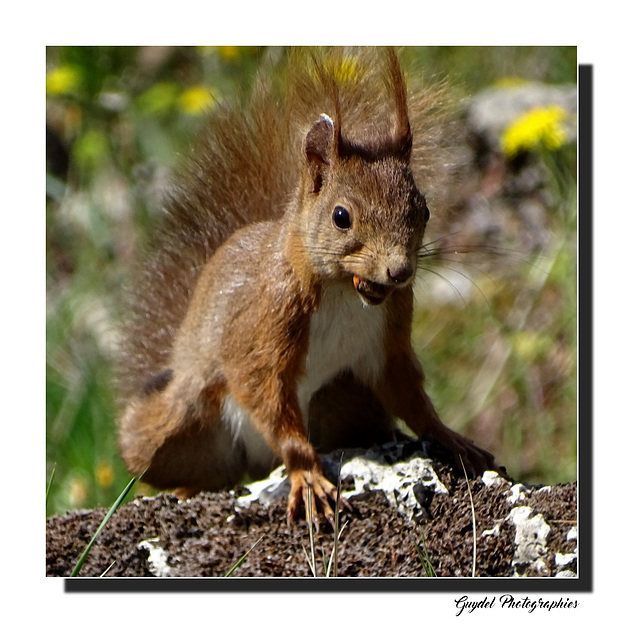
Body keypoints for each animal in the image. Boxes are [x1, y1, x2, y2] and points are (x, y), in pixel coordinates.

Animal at [119, 47, 500, 524]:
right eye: (341, 216)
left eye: (424, 211)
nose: (399, 272)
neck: (343, 291)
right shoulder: (263, 329)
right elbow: (264, 393)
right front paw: (308, 477)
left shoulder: (389, 342)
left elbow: (412, 398)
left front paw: (451, 438)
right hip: (171, 423)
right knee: (201, 465)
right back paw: (187, 488)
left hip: (347, 399)